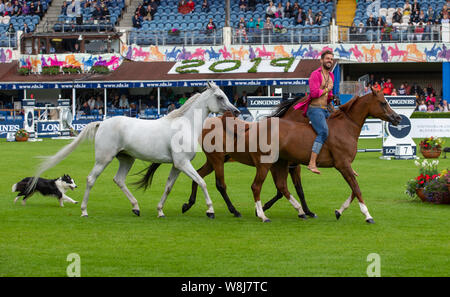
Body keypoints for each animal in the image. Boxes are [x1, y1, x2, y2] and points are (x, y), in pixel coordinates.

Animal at [27, 82, 239, 216]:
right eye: (220, 97)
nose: (236, 111)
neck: (183, 125)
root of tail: (101, 123)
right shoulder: (183, 163)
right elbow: (202, 182)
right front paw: (210, 210)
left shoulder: (177, 165)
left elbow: (169, 187)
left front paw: (160, 211)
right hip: (104, 159)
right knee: (90, 179)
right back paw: (84, 211)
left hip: (127, 159)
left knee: (119, 180)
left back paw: (136, 207)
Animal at [179, 95, 316, 217]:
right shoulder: (273, 167)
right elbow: (280, 190)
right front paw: (262, 208)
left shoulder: (294, 167)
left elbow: (299, 190)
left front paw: (308, 211)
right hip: (217, 159)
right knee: (220, 185)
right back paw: (234, 210)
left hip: (214, 160)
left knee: (199, 175)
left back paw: (189, 204)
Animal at [246, 88, 400, 222]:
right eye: (383, 103)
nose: (397, 118)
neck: (346, 127)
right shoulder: (343, 165)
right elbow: (357, 189)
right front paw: (367, 215)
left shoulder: (346, 166)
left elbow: (354, 189)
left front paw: (339, 211)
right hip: (269, 164)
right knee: (260, 186)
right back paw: (263, 213)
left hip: (279, 163)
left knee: (280, 186)